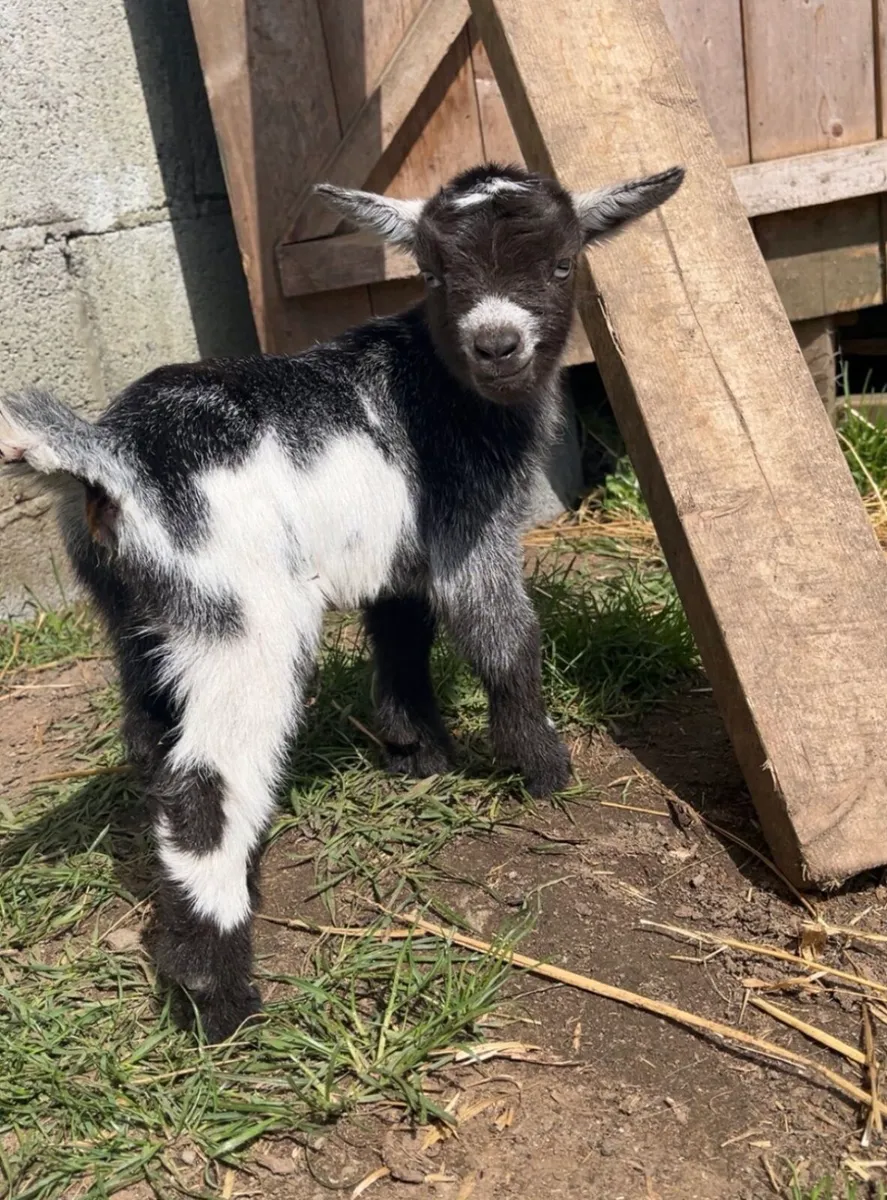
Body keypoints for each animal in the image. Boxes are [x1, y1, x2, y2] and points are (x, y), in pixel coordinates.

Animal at [0, 162, 684, 1041]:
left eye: (562, 263)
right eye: (435, 274)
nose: (496, 344)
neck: (438, 378)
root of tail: (107, 456)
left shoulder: (399, 552)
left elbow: (401, 636)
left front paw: (417, 754)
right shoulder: (471, 530)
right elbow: (504, 641)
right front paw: (544, 768)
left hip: (135, 615)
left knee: (151, 741)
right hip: (244, 620)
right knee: (204, 786)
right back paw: (219, 995)